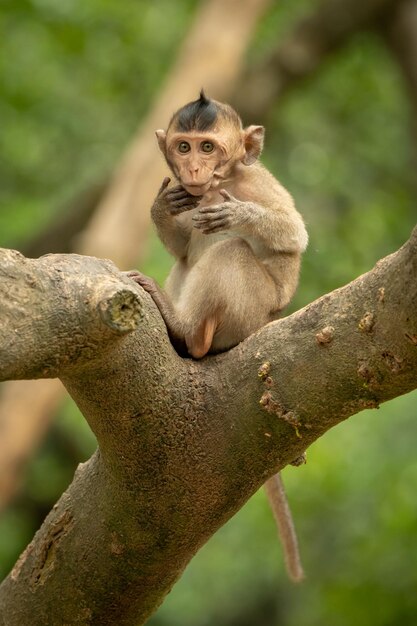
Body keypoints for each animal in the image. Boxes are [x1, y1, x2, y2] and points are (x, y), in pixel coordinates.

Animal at [128, 91, 308, 580]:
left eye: (208, 148)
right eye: (184, 147)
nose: (192, 169)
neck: (215, 185)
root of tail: (267, 322)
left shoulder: (257, 182)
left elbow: (294, 235)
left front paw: (238, 213)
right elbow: (179, 245)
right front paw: (160, 207)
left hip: (248, 314)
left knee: (232, 250)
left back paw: (187, 331)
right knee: (186, 260)